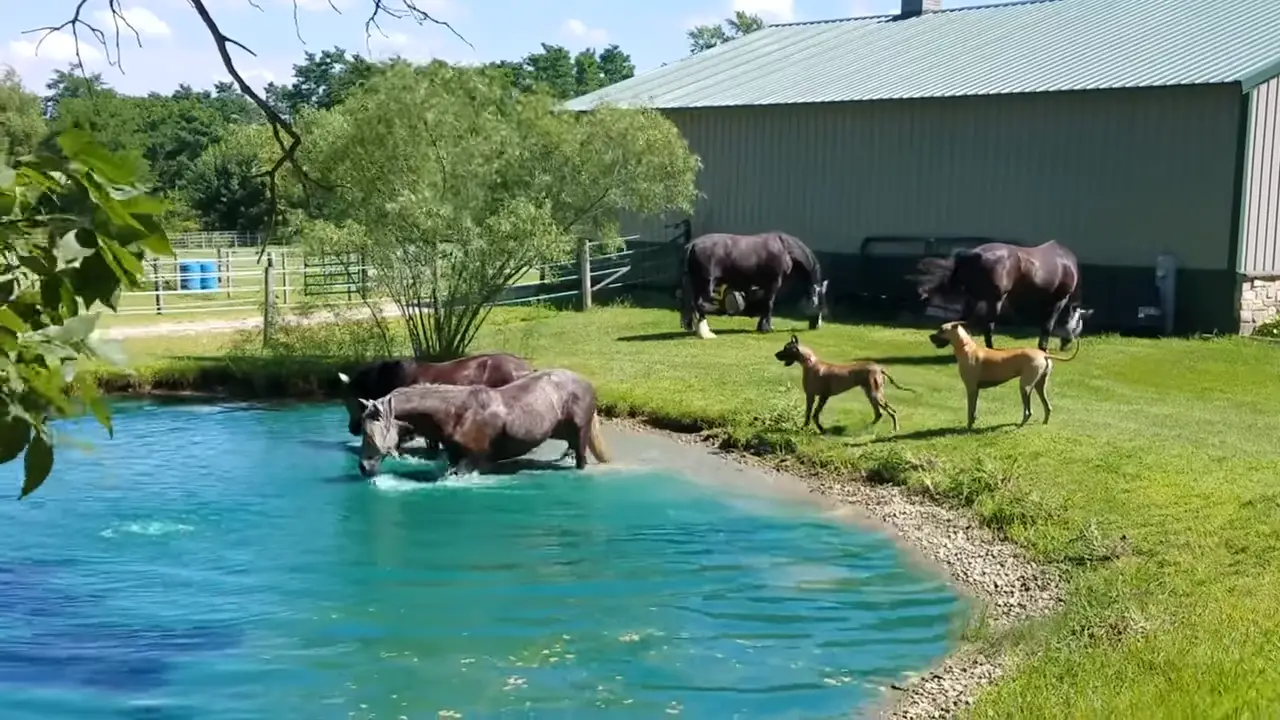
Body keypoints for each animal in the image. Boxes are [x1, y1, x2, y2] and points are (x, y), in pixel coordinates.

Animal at [353, 366, 606, 479]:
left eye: (369, 433)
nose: (363, 467)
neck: (456, 414)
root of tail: (586, 382)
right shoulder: (455, 458)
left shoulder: (470, 461)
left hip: (581, 432)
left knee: (581, 457)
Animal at [680, 228, 829, 338]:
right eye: (820, 303)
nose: (817, 325)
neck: (785, 249)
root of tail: (693, 244)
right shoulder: (774, 283)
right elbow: (769, 304)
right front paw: (766, 328)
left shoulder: (763, 286)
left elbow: (763, 304)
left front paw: (761, 325)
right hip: (706, 283)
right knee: (700, 304)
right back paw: (706, 333)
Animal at [911, 239, 1090, 351]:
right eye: (1078, 324)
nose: (1066, 345)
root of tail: (973, 253)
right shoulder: (1059, 300)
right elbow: (1047, 325)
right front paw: (1043, 349)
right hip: (994, 299)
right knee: (987, 325)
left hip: (974, 297)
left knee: (962, 320)